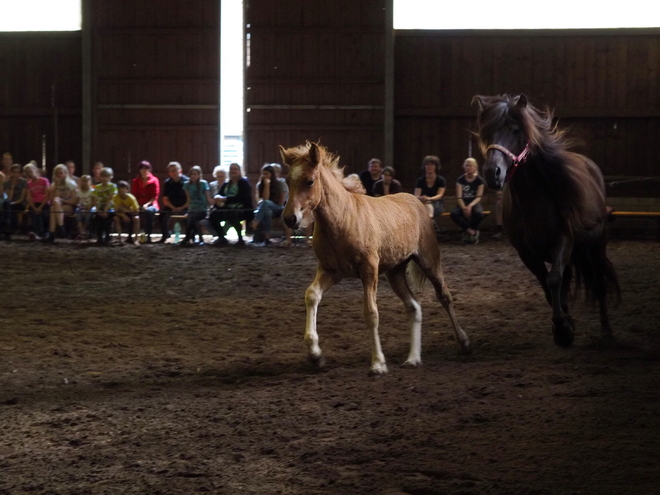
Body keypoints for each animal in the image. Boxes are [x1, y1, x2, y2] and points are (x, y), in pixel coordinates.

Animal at [278, 141, 470, 374]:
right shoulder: (331, 271)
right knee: (414, 307)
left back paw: (463, 342)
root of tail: (416, 200)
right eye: (288, 181)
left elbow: (371, 313)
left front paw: (378, 363)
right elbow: (312, 295)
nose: (290, 218)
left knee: (444, 296)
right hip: (395, 273)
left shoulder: (369, 269)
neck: (343, 219)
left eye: (310, 180)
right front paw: (316, 356)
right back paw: (413, 358)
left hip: (428, 261)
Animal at [474, 95, 620, 346]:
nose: (493, 173)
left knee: (599, 282)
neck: (532, 203)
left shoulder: (562, 242)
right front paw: (566, 324)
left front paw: (562, 329)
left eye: (515, 130)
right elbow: (547, 284)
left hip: (596, 246)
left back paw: (607, 332)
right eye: (487, 132)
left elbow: (553, 280)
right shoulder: (526, 253)